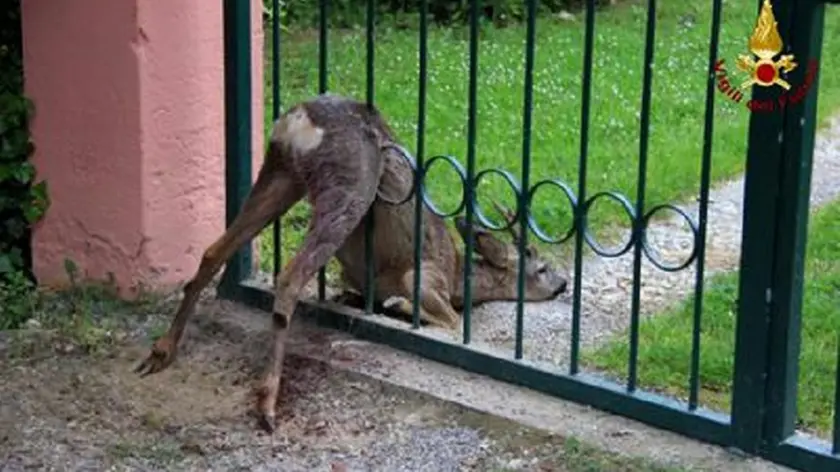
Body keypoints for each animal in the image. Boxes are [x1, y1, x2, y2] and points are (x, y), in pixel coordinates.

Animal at [136, 94, 572, 434]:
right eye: (542, 268)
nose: (565, 283)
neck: (459, 278)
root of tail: (301, 117)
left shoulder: (356, 278)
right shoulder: (425, 276)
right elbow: (448, 321)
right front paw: (399, 306)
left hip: (281, 172)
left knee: (213, 250)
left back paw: (161, 351)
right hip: (348, 186)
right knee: (289, 276)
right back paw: (267, 402)